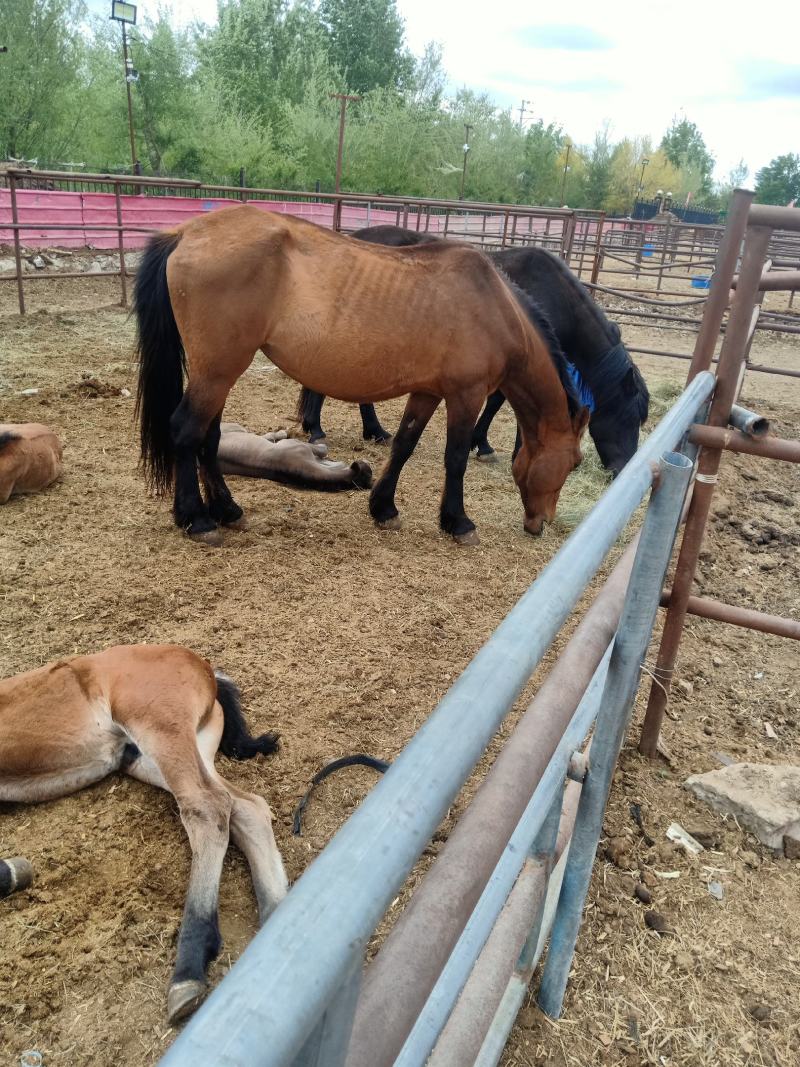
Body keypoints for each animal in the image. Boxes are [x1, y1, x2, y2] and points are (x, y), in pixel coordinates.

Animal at [0, 644, 288, 1025]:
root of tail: (202, 665)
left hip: (158, 727)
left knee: (207, 806)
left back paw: (188, 968)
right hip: (151, 755)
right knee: (245, 807)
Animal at [298, 226, 649, 477]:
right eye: (630, 417)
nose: (624, 469)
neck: (552, 297)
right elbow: (501, 404)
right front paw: (493, 447)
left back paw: (367, 431)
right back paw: (320, 429)